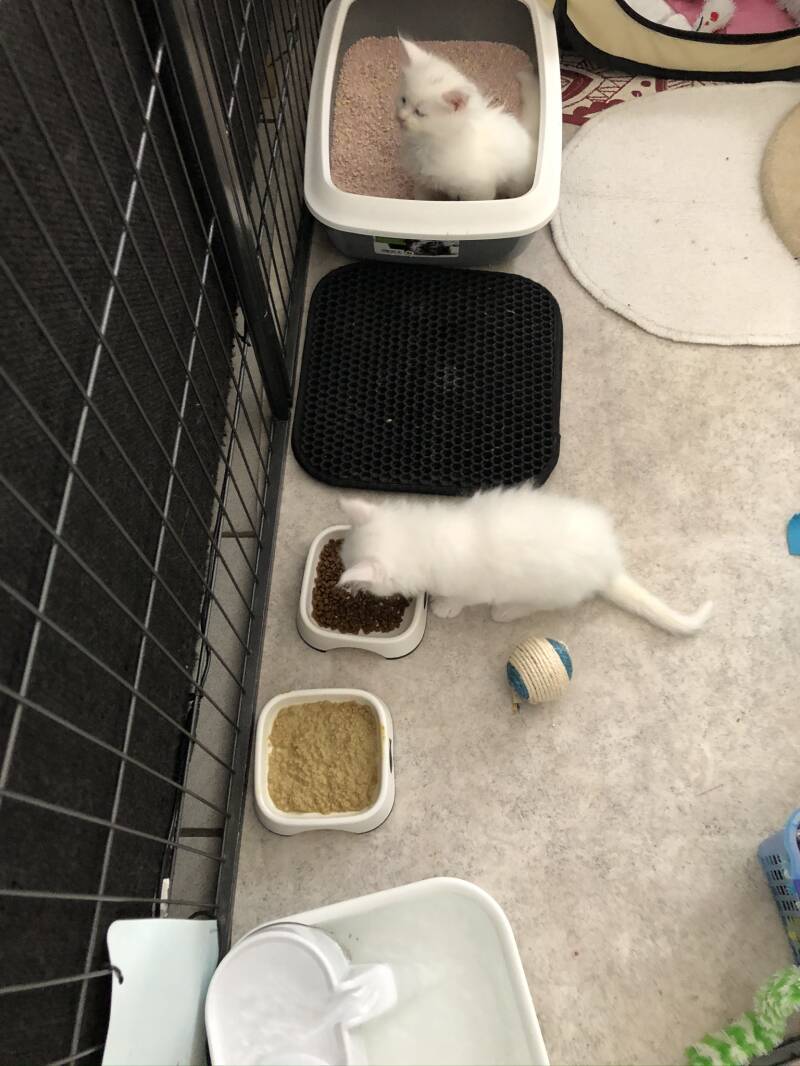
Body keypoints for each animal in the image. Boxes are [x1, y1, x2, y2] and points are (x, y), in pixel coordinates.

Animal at [338, 486, 713, 636]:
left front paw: (446, 607)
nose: (347, 590)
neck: (424, 537)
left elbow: (462, 598)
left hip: (547, 589)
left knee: (537, 605)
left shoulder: (474, 587)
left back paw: (506, 611)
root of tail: (609, 564)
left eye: (355, 581)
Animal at [395, 37, 539, 202]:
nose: (400, 117)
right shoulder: (424, 182)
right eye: (403, 100)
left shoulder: (479, 189)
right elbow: (422, 197)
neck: (427, 144)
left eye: (419, 113)